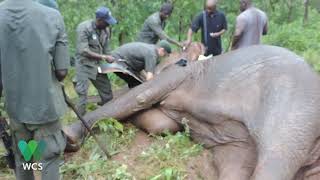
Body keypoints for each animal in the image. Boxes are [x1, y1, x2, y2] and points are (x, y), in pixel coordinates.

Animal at [63, 44, 320, 179]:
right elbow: (161, 123)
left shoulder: (180, 73)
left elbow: (141, 96)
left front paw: (68, 137)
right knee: (237, 165)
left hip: (294, 105)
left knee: (277, 156)